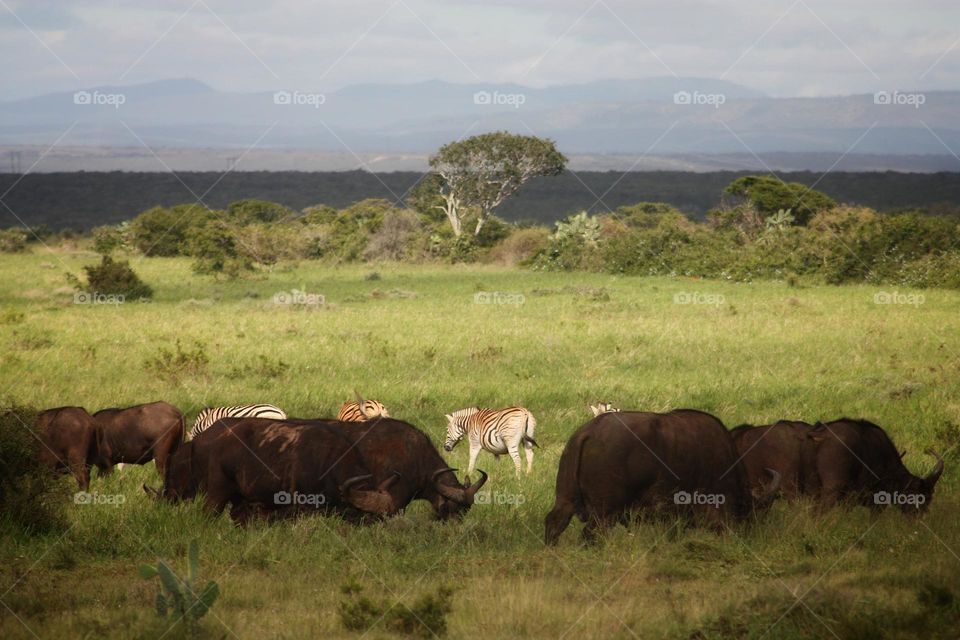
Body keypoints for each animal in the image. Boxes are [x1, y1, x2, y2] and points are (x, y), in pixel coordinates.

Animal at [544, 410, 776, 544]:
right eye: (745, 509)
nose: (748, 532)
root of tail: (589, 432)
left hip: (565, 499)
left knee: (554, 523)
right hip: (605, 512)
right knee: (590, 534)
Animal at [808, 418, 940, 512]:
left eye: (930, 498)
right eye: (920, 495)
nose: (920, 514)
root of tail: (824, 434)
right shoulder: (877, 503)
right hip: (832, 491)